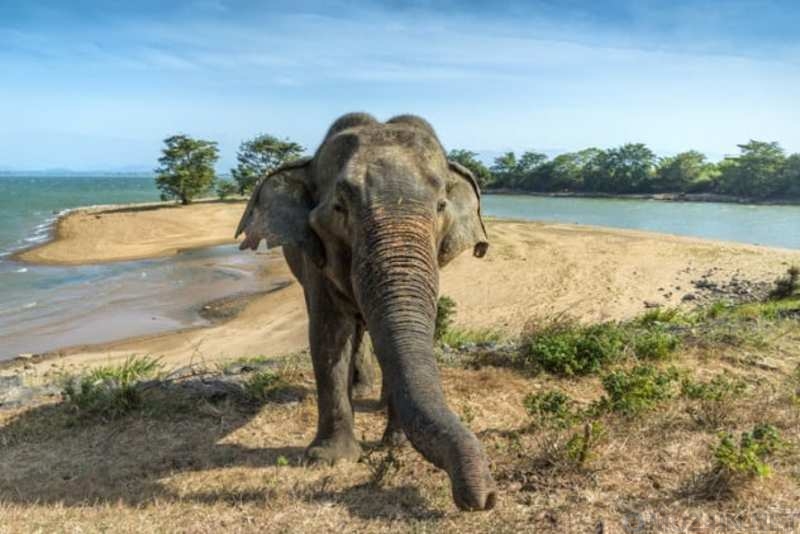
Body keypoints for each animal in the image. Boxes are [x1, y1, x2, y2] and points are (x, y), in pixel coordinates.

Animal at [233, 113, 494, 516]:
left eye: (440, 206)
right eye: (339, 208)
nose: (484, 499)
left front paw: (396, 444)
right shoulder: (314, 257)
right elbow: (329, 335)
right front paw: (330, 459)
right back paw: (361, 387)